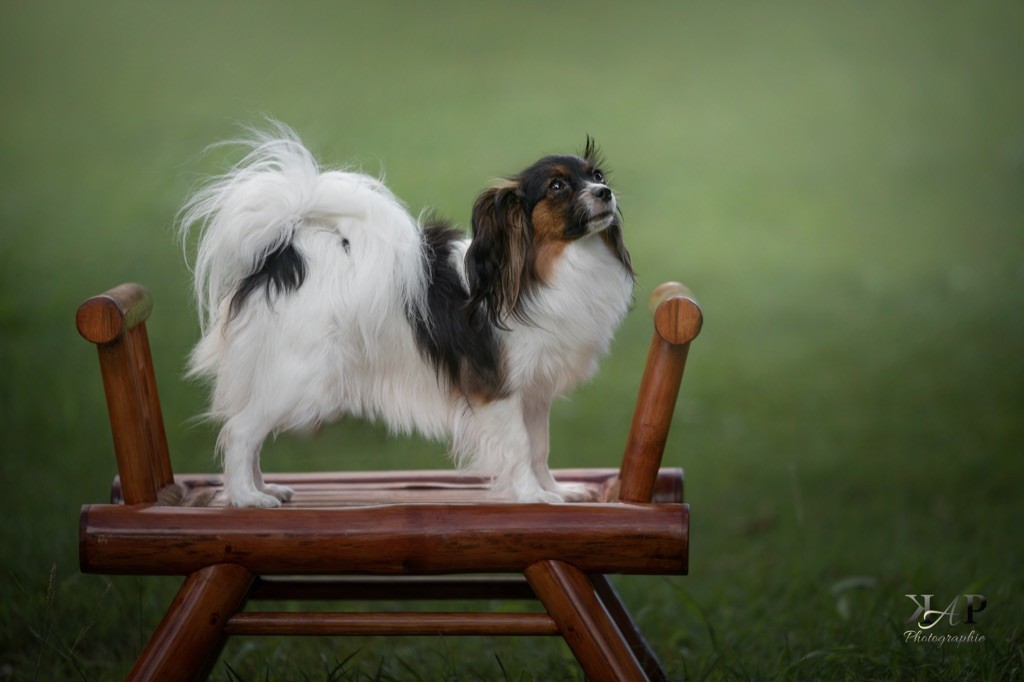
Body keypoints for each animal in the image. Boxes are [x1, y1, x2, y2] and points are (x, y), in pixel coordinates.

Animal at [180, 124, 634, 501]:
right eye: (558, 186)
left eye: (598, 176)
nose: (606, 193)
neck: (545, 267)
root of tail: (281, 258)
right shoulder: (498, 389)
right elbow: (519, 447)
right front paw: (533, 497)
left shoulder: (534, 392)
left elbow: (539, 447)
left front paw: (556, 490)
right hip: (301, 380)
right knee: (240, 432)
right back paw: (247, 498)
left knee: (249, 434)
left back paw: (264, 489)